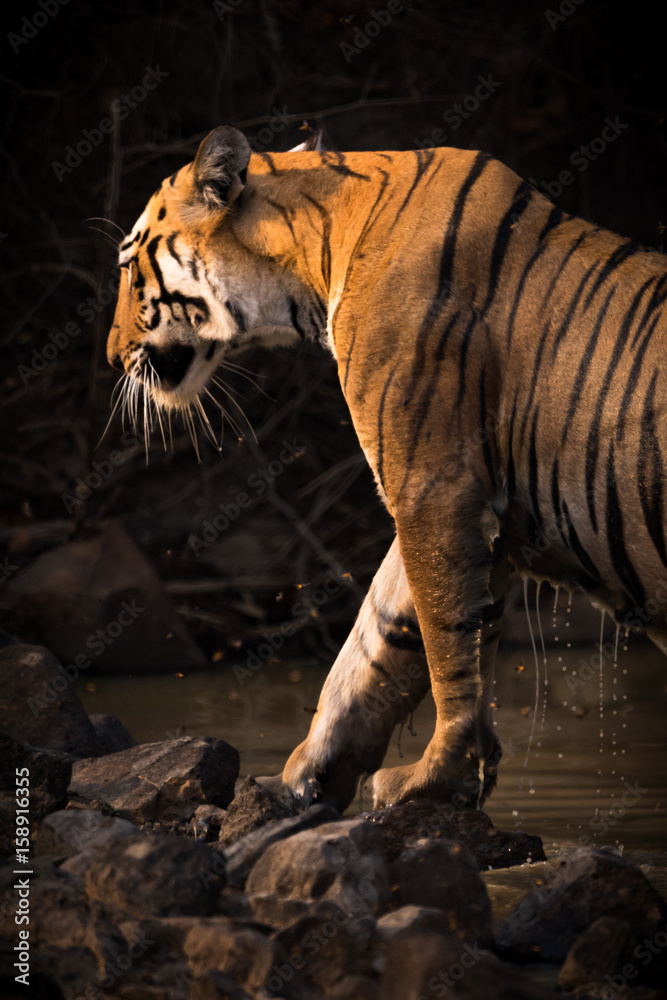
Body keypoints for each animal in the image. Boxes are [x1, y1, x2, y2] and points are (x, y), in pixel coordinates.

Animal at [106, 124, 667, 813]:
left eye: (129, 270)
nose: (111, 358)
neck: (310, 265)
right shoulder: (451, 495)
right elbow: (378, 636)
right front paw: (304, 775)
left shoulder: (433, 489)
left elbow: (447, 645)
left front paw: (435, 775)